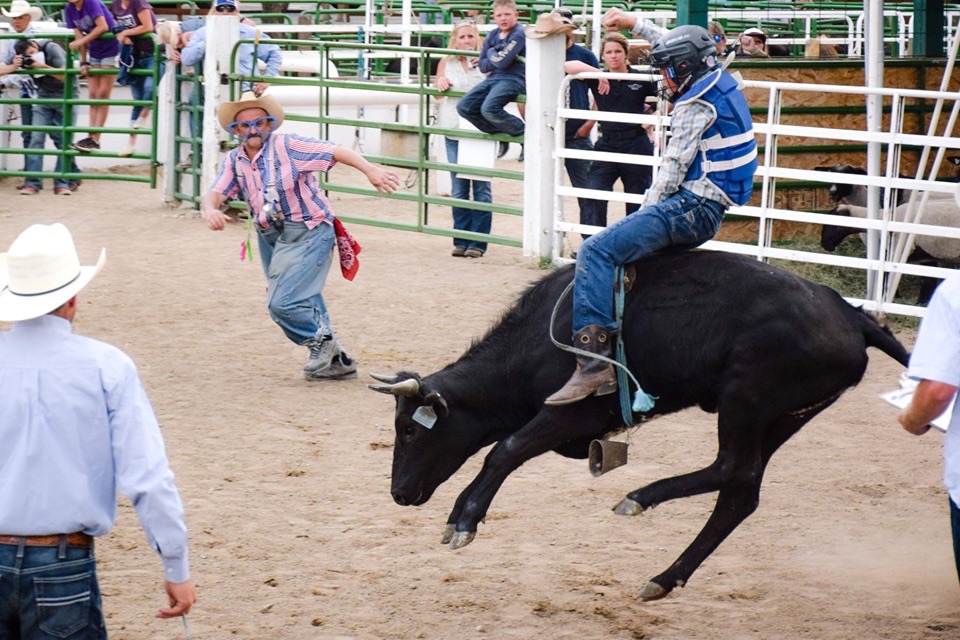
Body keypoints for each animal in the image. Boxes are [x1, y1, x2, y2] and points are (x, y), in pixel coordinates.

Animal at [368, 250, 908, 600]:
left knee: (731, 467)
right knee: (740, 491)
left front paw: (464, 520)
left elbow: (505, 449)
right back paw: (664, 578)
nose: (398, 493)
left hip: (746, 398)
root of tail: (853, 317)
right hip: (781, 417)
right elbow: (504, 449)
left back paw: (639, 498)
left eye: (411, 430)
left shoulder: (572, 411)